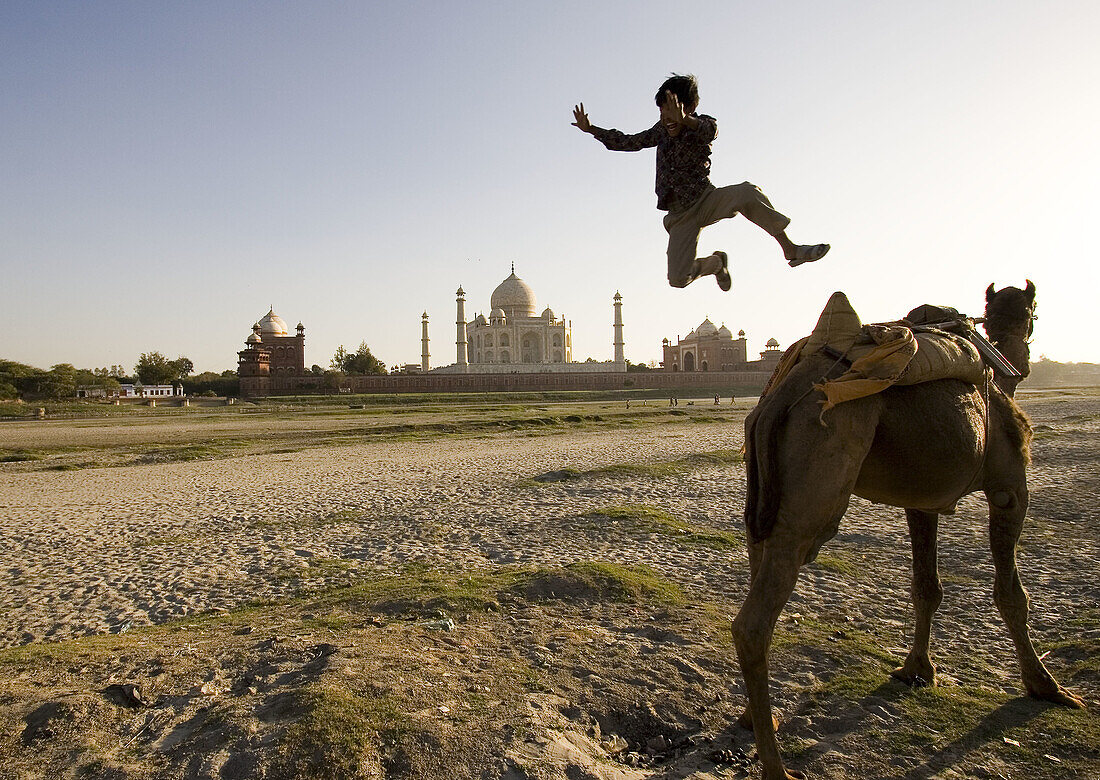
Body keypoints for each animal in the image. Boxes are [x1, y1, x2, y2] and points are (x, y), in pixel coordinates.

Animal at [730, 283, 1082, 778]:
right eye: (1034, 313)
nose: (1028, 360)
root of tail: (780, 393)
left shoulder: (922, 499)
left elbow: (926, 585)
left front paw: (917, 668)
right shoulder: (1010, 486)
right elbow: (1012, 594)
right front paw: (1045, 686)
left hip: (764, 484)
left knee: (757, 564)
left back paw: (756, 720)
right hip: (818, 480)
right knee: (754, 622)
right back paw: (776, 767)